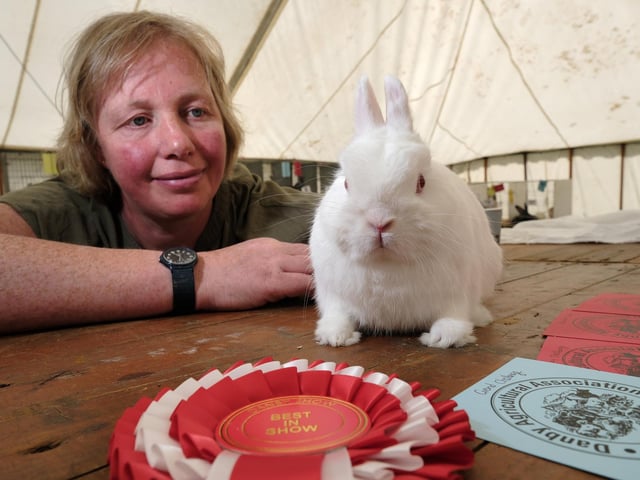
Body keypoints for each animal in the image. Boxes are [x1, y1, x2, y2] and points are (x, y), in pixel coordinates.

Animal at [309, 75, 503, 349]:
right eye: (346, 183)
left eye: (421, 182)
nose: (379, 222)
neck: (386, 265)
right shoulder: (334, 295)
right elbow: (338, 315)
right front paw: (336, 336)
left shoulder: (457, 292)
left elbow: (453, 315)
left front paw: (444, 338)